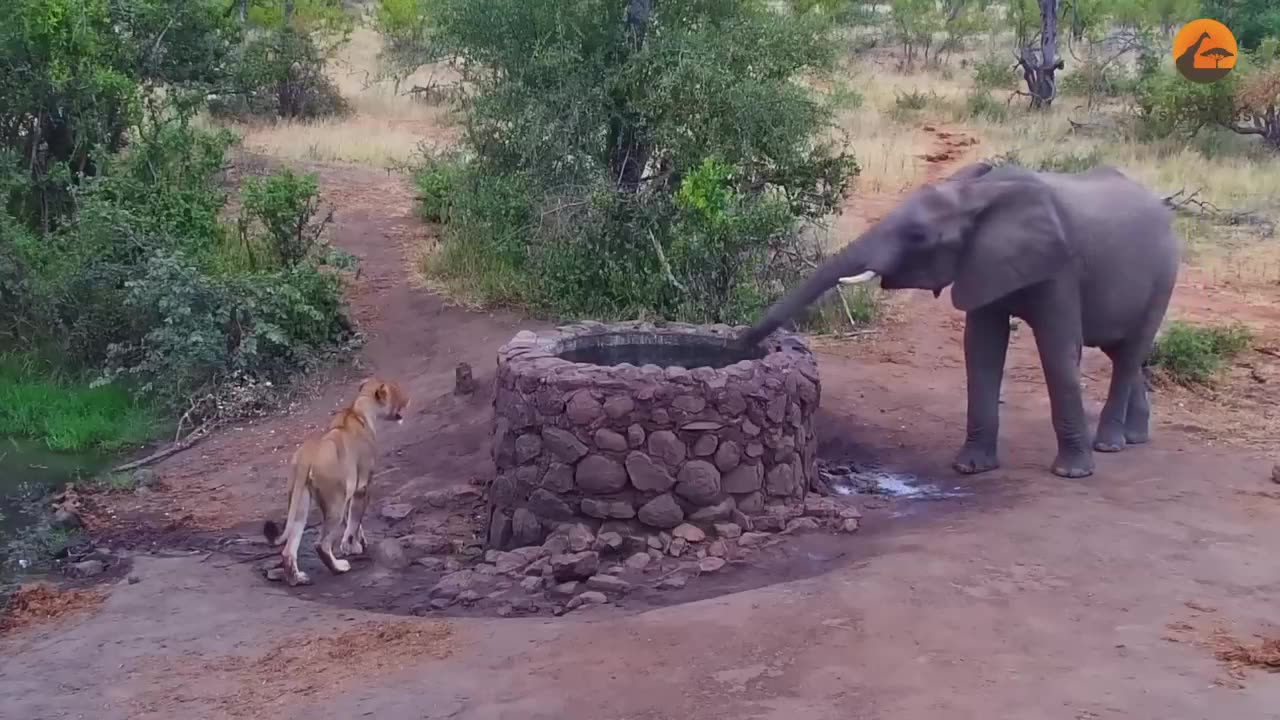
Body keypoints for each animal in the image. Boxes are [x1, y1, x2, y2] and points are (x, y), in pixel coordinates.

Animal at [742, 162, 1177, 476]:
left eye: (917, 236)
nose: (743, 343)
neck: (977, 194)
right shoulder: (980, 260)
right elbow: (981, 348)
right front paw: (971, 468)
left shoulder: (1059, 267)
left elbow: (1057, 350)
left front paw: (1071, 473)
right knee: (1123, 352)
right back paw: (1134, 438)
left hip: (1165, 273)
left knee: (1129, 352)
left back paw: (1109, 445)